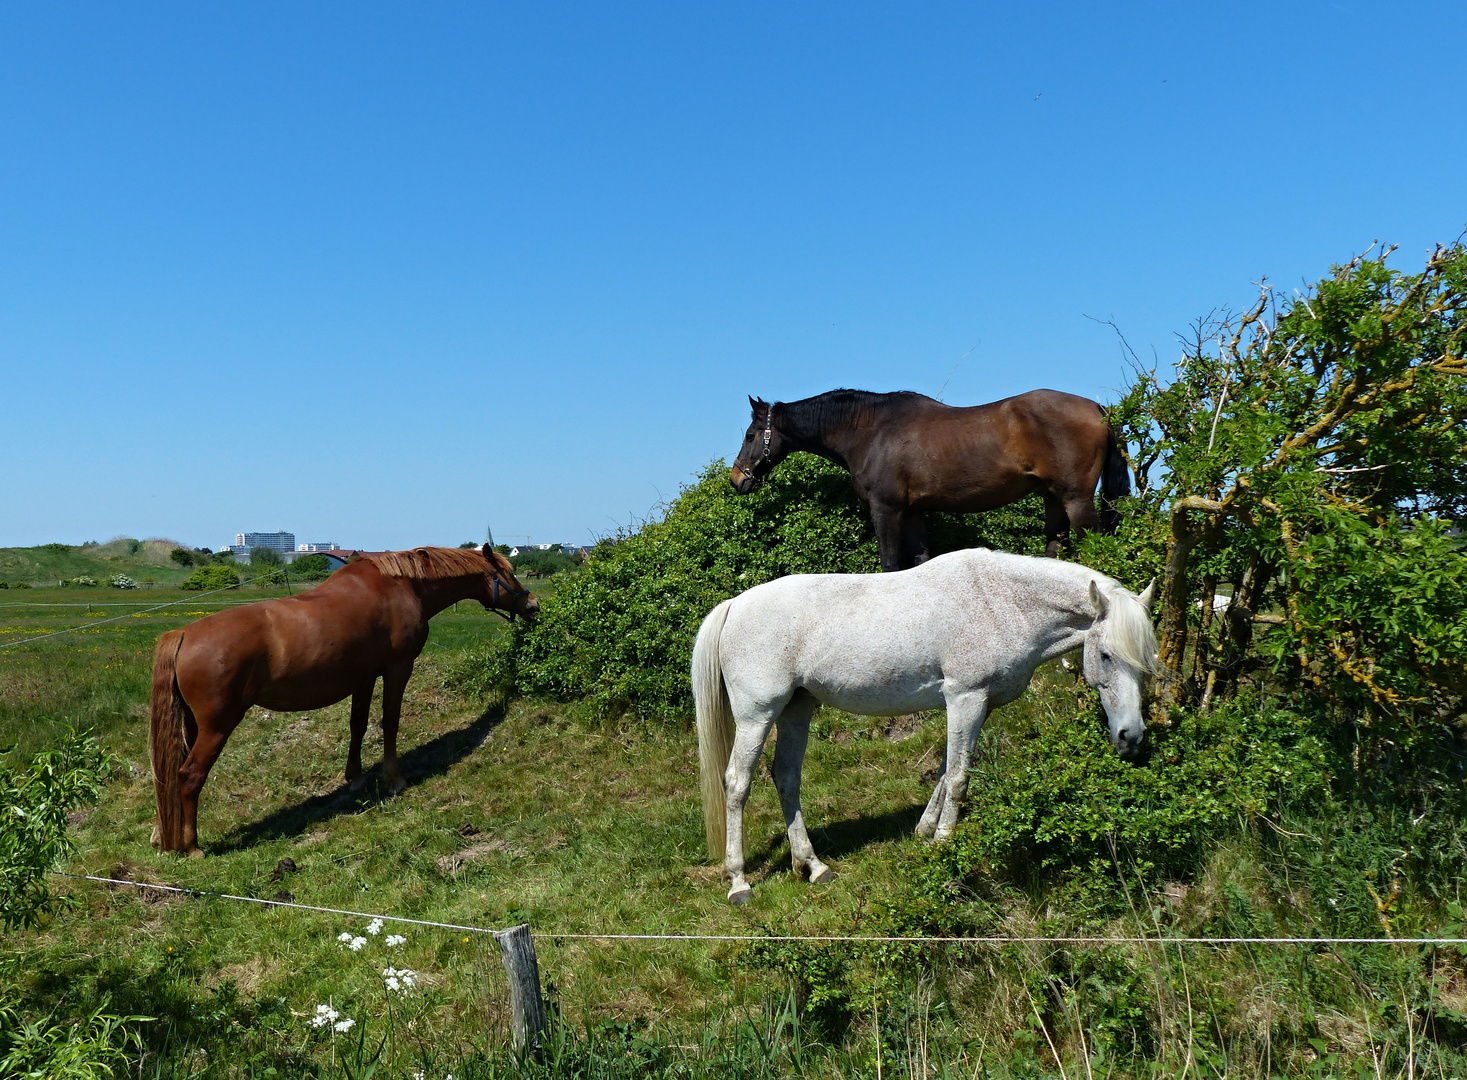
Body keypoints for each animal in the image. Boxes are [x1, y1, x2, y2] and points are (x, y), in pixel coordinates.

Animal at [150, 542, 539, 856]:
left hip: (192, 726)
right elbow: (390, 722)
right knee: (189, 775)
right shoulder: (397, 669)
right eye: (507, 573)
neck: (402, 586)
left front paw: (355, 777)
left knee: (170, 773)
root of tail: (182, 634)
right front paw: (394, 780)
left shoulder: (364, 678)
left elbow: (359, 725)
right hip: (217, 727)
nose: (533, 604)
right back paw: (192, 846)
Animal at [692, 548, 1161, 903]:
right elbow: (958, 777)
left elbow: (945, 770)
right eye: (1106, 656)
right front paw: (944, 844)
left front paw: (924, 832)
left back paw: (813, 866)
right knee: (737, 783)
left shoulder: (978, 705)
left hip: (797, 708)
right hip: (757, 715)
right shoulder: (965, 698)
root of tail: (735, 605)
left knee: (786, 777)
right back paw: (739, 883)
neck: (999, 602)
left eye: (1147, 658)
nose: (1131, 736)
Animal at [727, 390, 1126, 575]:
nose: (736, 479)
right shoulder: (914, 513)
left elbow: (890, 565)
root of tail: (1097, 408)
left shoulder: (886, 511)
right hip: (1052, 499)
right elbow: (920, 562)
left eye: (750, 434)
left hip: (1076, 500)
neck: (869, 430)